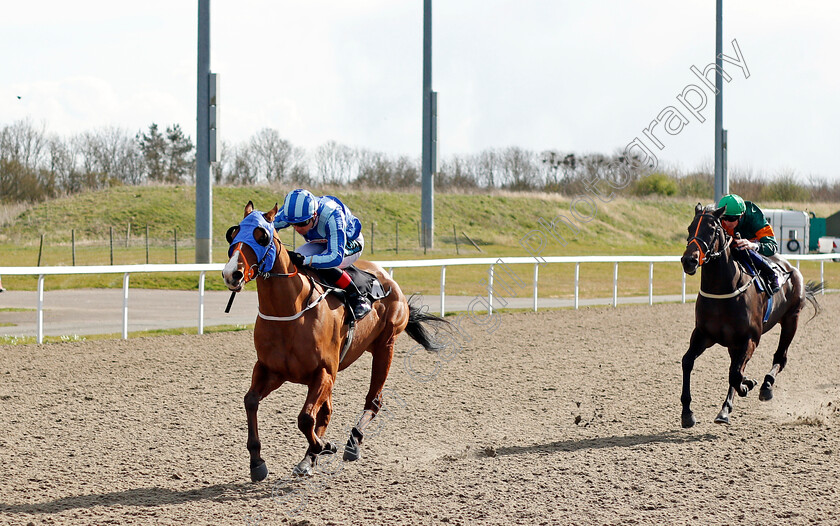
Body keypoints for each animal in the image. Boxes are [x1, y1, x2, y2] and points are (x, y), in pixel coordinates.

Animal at [221, 202, 446, 482]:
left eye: (261, 236)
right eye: (233, 234)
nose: (232, 273)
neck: (291, 311)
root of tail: (387, 278)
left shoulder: (324, 372)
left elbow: (306, 418)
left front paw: (323, 446)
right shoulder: (271, 370)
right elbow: (251, 401)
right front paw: (258, 462)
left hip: (386, 346)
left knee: (373, 400)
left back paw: (352, 443)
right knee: (326, 411)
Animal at [676, 205, 820, 428]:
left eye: (712, 229)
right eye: (690, 228)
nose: (688, 260)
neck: (723, 289)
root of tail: (791, 268)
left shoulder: (750, 338)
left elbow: (735, 374)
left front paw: (748, 385)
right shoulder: (703, 335)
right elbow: (687, 362)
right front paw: (687, 413)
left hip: (791, 319)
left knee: (780, 357)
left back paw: (765, 387)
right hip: (733, 342)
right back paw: (727, 408)